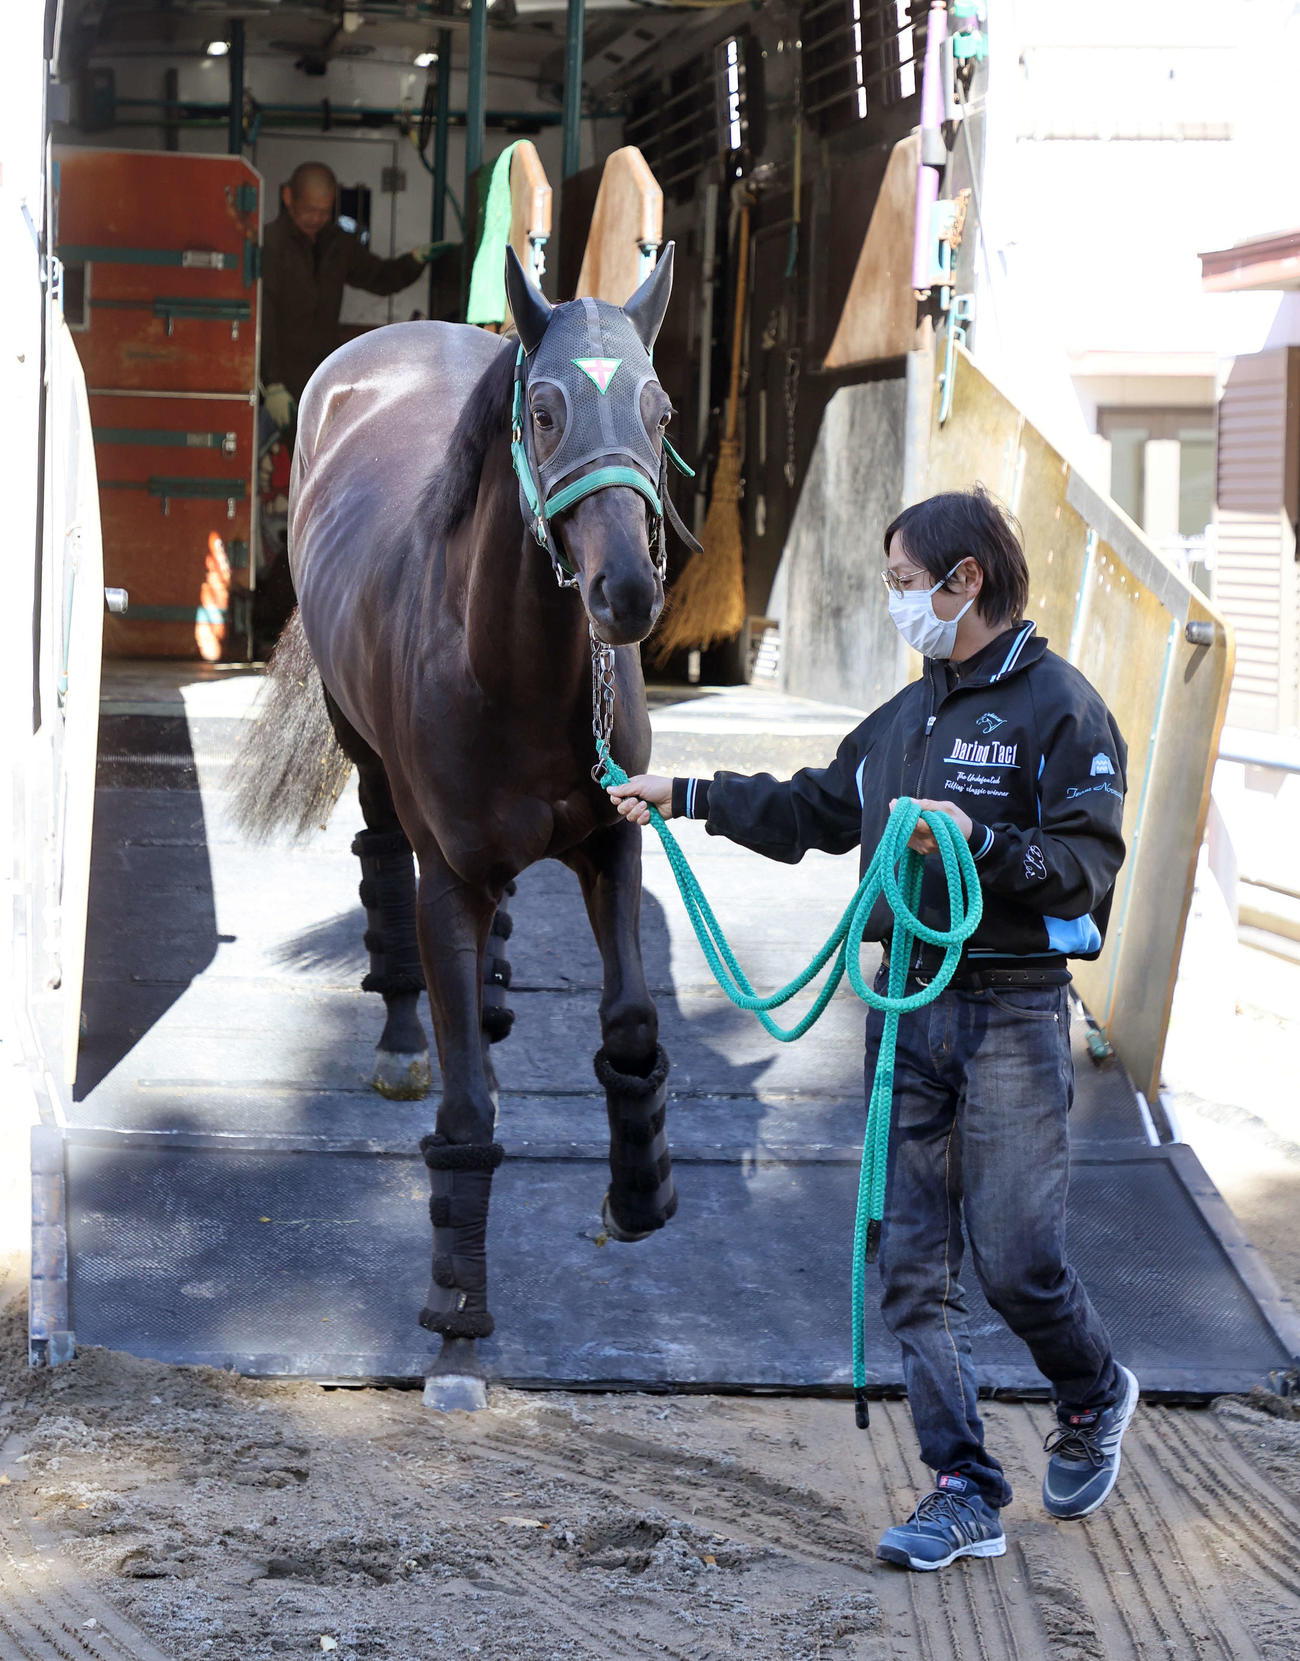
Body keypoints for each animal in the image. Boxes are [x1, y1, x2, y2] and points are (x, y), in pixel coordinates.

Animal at [233, 247, 697, 1405]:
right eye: (543, 409)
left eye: (660, 406)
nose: (627, 593)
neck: (510, 671)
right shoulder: (449, 872)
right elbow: (470, 1116)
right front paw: (456, 1321)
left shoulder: (614, 840)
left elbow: (631, 1021)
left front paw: (638, 1194)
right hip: (362, 753)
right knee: (379, 864)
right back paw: (409, 1034)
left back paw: (487, 999)